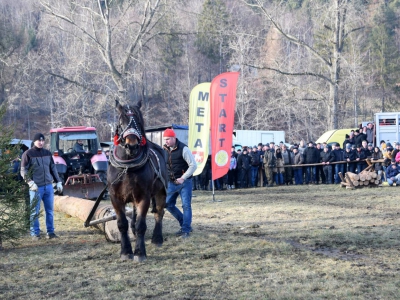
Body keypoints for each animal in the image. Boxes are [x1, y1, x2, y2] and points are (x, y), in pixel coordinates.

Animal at [108, 99, 167, 262]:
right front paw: (125, 251)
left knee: (159, 213)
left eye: (138, 121)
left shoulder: (144, 196)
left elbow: (141, 224)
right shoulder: (115, 197)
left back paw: (157, 238)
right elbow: (122, 224)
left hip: (161, 191)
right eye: (121, 121)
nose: (132, 145)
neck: (127, 166)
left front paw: (140, 253)